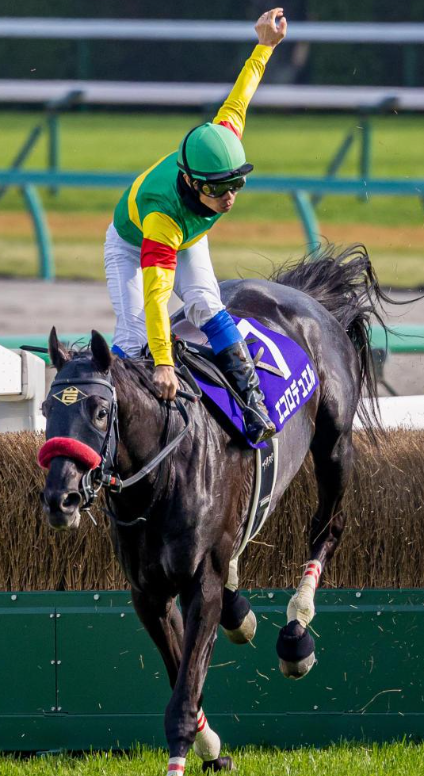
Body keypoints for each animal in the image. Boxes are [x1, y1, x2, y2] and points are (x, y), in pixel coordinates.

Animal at [39, 244, 390, 774]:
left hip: (334, 443)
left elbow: (183, 699)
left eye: (99, 412)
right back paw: (240, 611)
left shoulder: (198, 583)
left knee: (327, 528)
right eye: (46, 410)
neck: (159, 479)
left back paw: (296, 635)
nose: (60, 498)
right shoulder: (148, 593)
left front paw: (186, 757)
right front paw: (212, 748)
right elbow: (182, 680)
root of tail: (302, 293)